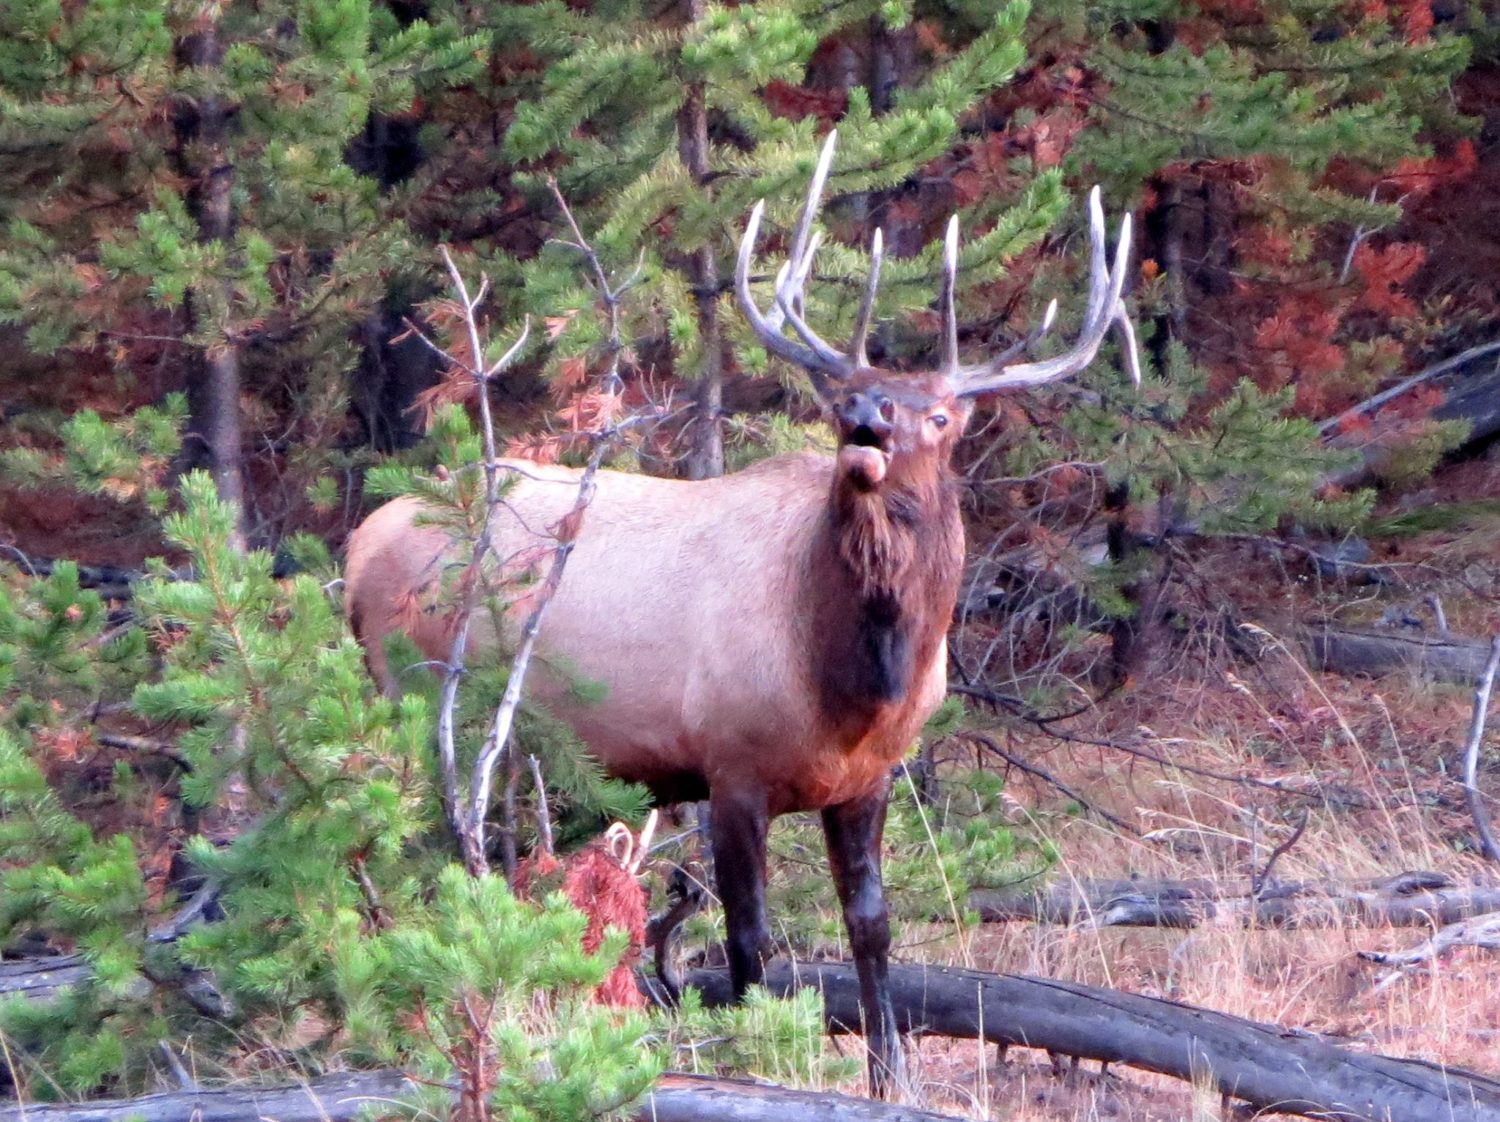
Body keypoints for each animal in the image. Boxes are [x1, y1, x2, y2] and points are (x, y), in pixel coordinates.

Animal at [343, 131, 1134, 1098]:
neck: (851, 684)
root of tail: (358, 546)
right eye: (839, 399)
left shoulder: (869, 779)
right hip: (411, 698)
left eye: (943, 414)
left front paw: (892, 1076)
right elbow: (748, 941)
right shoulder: (731, 766)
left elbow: (872, 925)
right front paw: (764, 1058)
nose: (866, 415)